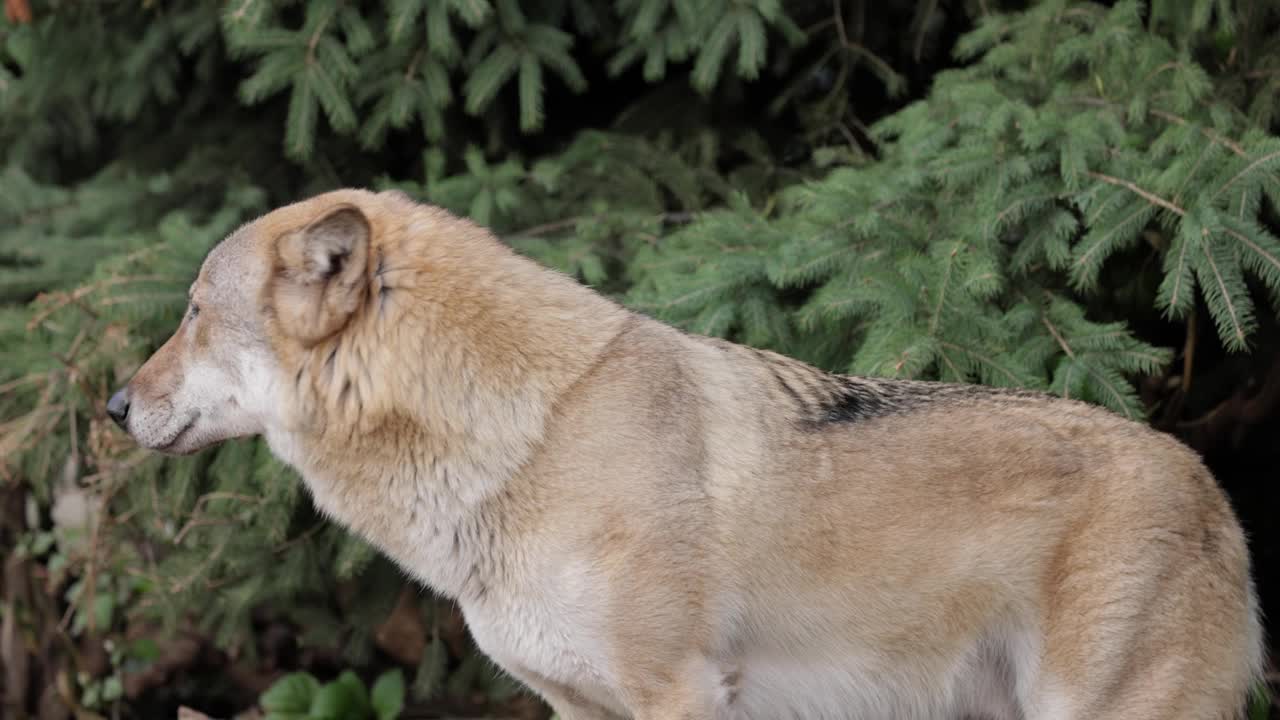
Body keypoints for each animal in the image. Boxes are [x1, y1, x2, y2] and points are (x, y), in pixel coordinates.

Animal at [107, 188, 1259, 712]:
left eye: (195, 313)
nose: (114, 406)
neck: (530, 438)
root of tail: (1211, 484)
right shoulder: (574, 702)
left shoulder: (679, 691)